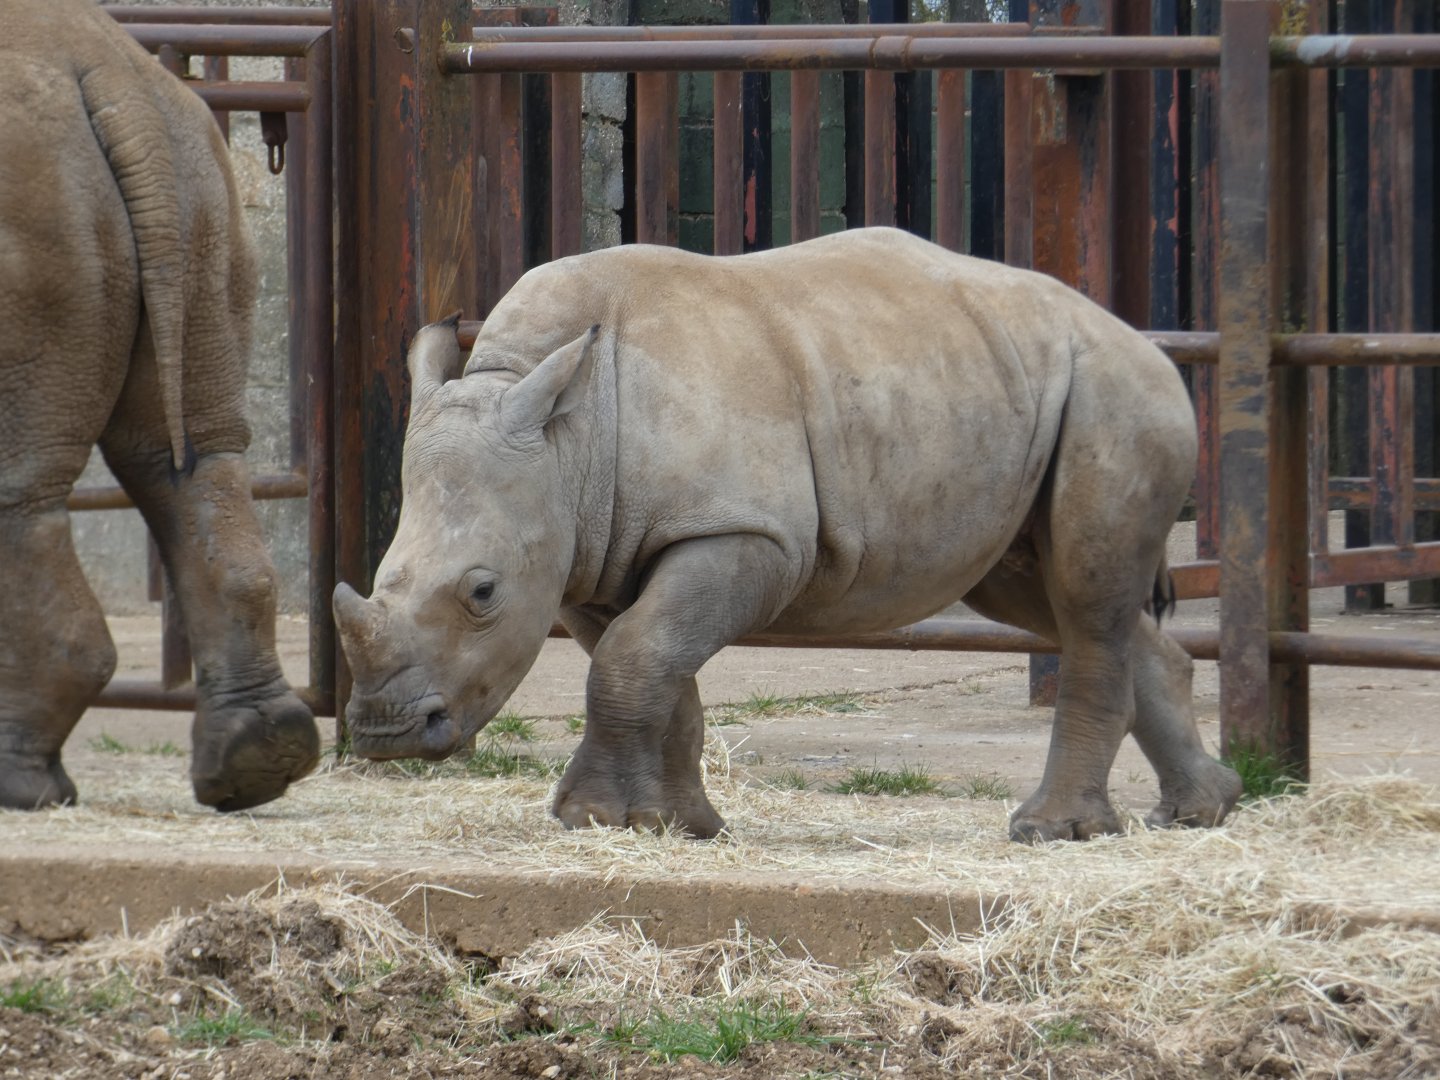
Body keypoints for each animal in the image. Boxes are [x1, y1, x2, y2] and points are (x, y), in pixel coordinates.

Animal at [0, 0, 319, 811]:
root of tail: (118, 84)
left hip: (33, 223)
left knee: (20, 485)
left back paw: (25, 788)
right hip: (200, 196)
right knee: (193, 459)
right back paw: (257, 766)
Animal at [333, 227, 1242, 842]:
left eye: (482, 593)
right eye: (377, 580)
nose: (383, 734)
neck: (563, 436)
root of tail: (1139, 336)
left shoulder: (748, 534)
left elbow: (635, 656)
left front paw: (590, 817)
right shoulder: (591, 553)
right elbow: (652, 664)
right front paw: (681, 825)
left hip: (1115, 392)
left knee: (1084, 596)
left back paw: (1050, 833)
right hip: (1011, 385)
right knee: (1041, 594)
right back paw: (1199, 811)